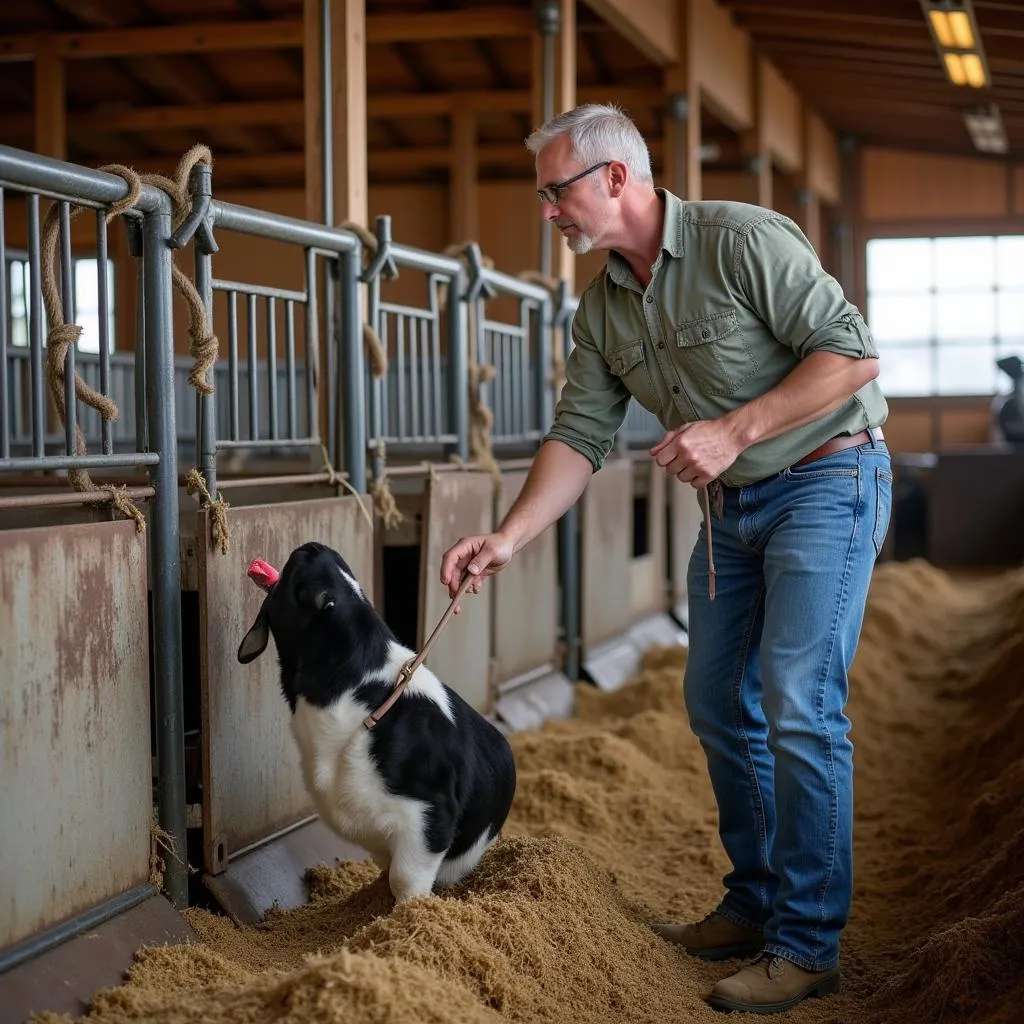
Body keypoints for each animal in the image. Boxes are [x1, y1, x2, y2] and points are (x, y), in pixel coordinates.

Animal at [236, 540, 516, 901]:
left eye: (300, 582)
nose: (313, 546)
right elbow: (386, 871)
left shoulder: (430, 813)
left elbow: (406, 879)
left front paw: (411, 914)